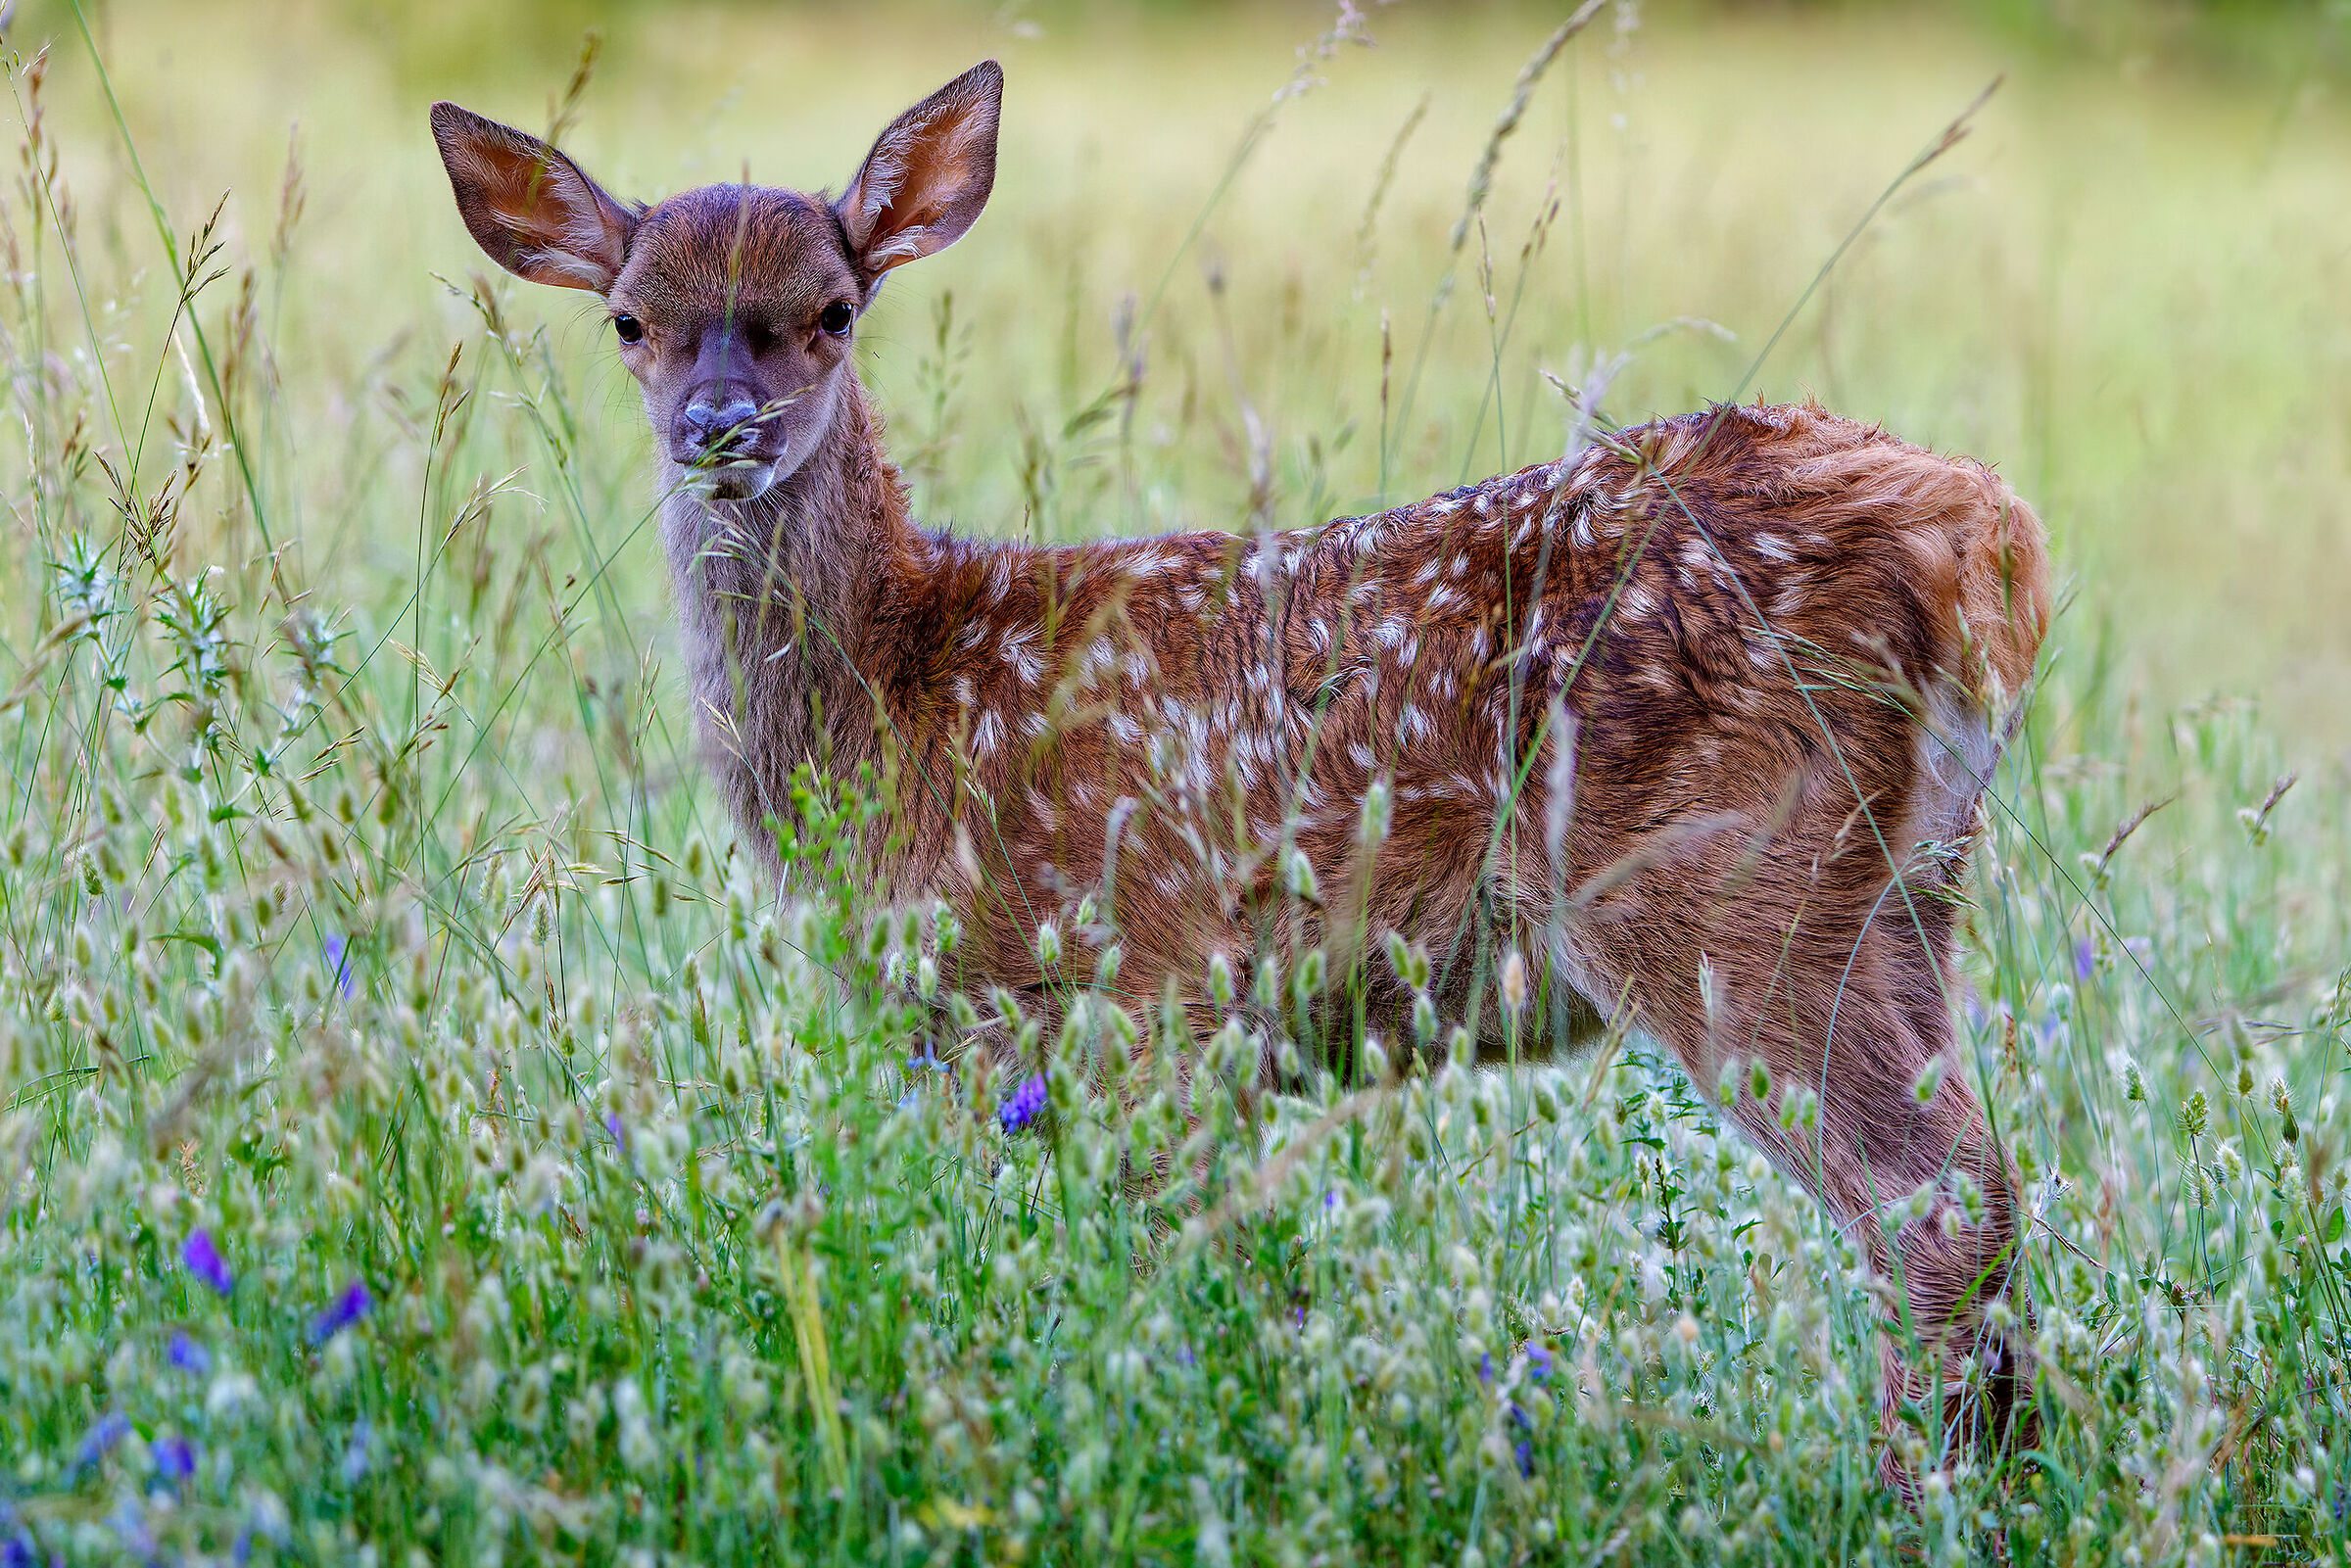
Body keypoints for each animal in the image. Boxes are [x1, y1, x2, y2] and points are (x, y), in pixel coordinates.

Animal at [432, 59, 2051, 1486]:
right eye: (632, 321)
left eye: (829, 312)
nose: (721, 430)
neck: (901, 701)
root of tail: (1992, 534)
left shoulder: (1149, 1001)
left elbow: (1182, 1286)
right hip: (1901, 886)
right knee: (1983, 1183)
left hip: (1725, 877)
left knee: (1928, 1203)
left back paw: (1916, 1495)